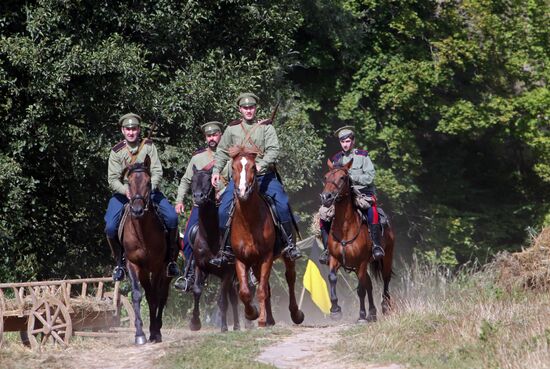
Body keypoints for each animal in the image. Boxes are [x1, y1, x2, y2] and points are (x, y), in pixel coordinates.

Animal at [122, 155, 171, 342]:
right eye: (128, 182)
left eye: (148, 182)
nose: (137, 210)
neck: (142, 234)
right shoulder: (133, 265)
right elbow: (137, 295)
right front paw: (140, 334)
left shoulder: (157, 266)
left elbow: (155, 297)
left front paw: (155, 332)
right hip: (143, 272)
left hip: (166, 271)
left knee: (161, 296)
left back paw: (157, 328)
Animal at [190, 163, 242, 330]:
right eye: (192, 180)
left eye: (208, 181)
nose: (198, 197)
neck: (209, 239)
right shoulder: (199, 266)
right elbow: (197, 290)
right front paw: (195, 322)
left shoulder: (226, 273)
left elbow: (222, 300)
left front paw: (224, 327)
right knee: (233, 296)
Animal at [229, 145, 306, 326]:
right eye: (233, 167)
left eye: (253, 167)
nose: (243, 191)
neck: (249, 222)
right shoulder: (241, 259)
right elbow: (245, 291)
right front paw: (252, 313)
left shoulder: (266, 257)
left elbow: (262, 290)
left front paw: (262, 319)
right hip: (255, 264)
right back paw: (270, 319)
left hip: (285, 256)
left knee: (290, 278)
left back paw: (295, 314)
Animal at [322, 160, 394, 320]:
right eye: (326, 177)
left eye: (342, 177)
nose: (326, 197)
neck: (345, 229)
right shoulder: (335, 259)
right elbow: (332, 278)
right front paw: (335, 309)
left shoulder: (361, 262)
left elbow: (361, 289)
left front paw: (361, 316)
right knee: (369, 284)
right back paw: (372, 313)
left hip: (386, 258)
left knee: (385, 279)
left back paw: (385, 307)